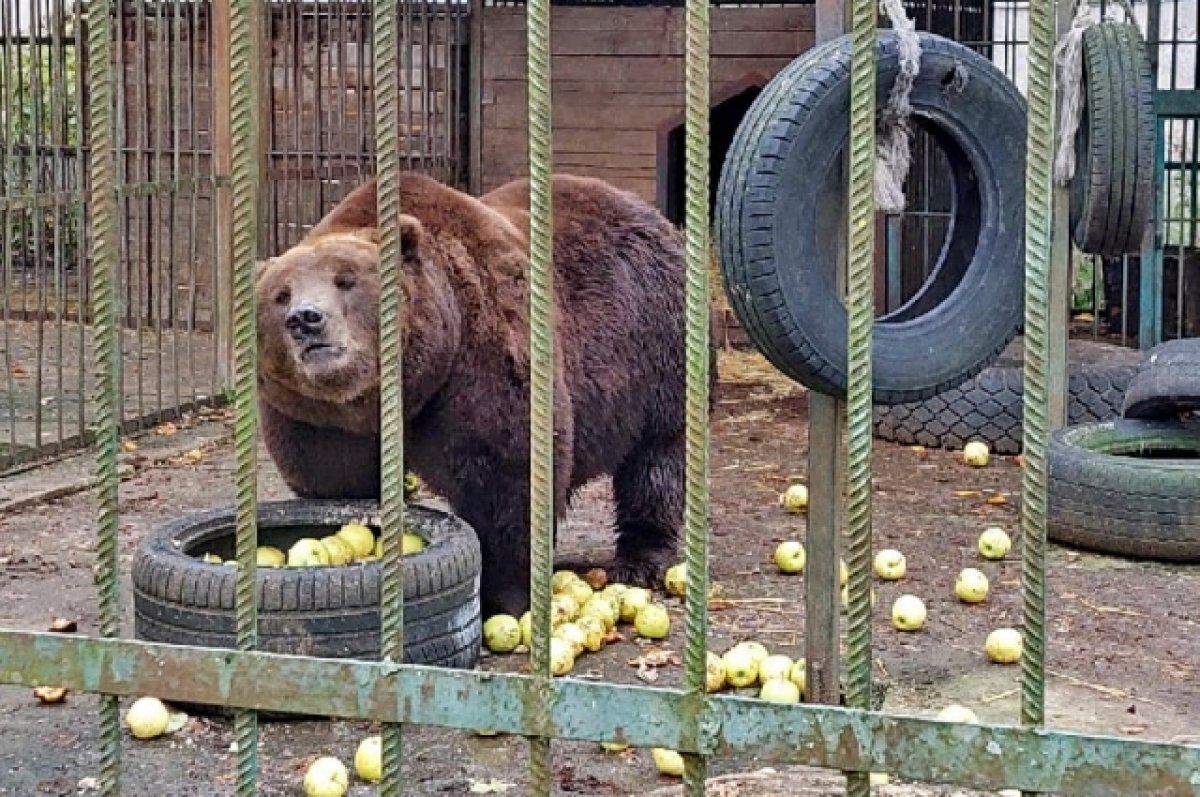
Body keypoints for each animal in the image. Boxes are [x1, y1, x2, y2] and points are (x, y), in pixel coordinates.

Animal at [248, 171, 705, 619]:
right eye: (280, 294)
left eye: (346, 280)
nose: (306, 319)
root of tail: (656, 217)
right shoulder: (319, 422)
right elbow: (335, 481)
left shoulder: (483, 357)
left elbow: (504, 481)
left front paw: (500, 597)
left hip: (655, 348)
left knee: (656, 460)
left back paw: (640, 559)